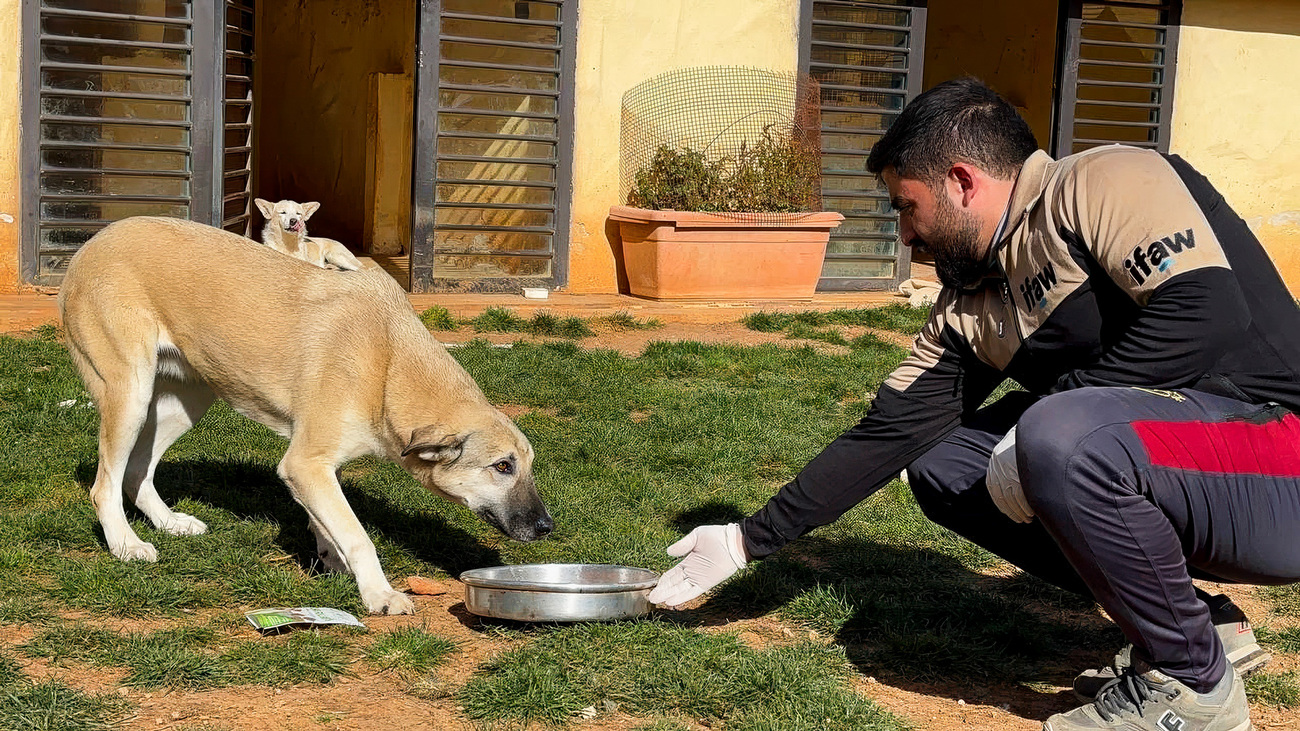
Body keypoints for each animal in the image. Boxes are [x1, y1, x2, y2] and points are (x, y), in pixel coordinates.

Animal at [62, 217, 548, 613]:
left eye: (527, 466)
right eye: (502, 466)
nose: (548, 526)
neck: (388, 364)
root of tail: (91, 245)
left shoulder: (317, 467)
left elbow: (329, 525)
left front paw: (334, 564)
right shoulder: (305, 463)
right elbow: (357, 534)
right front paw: (379, 593)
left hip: (189, 399)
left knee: (136, 471)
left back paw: (169, 523)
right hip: (130, 392)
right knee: (104, 486)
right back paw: (126, 544)